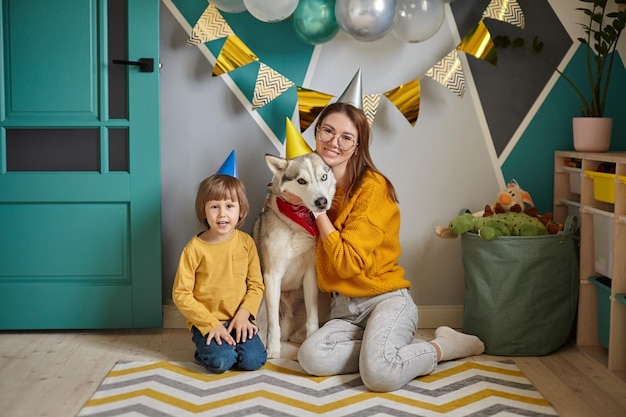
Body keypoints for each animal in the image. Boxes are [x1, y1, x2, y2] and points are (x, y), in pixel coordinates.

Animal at [251, 153, 334, 358]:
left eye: (323, 177)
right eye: (301, 181)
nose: (322, 202)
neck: (297, 224)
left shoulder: (311, 275)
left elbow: (312, 318)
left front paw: (311, 339)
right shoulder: (272, 276)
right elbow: (273, 323)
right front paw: (273, 351)